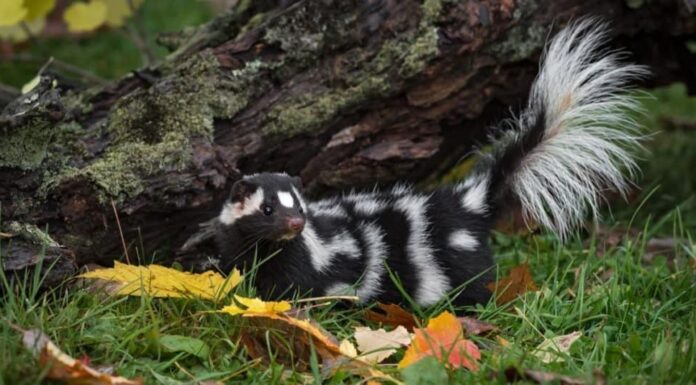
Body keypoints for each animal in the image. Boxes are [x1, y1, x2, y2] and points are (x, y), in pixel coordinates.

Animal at [215, 21, 644, 308]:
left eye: (299, 209)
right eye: (268, 210)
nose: (294, 225)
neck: (273, 247)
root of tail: (469, 199)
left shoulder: (310, 263)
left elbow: (300, 290)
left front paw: (284, 308)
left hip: (455, 258)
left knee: (473, 284)